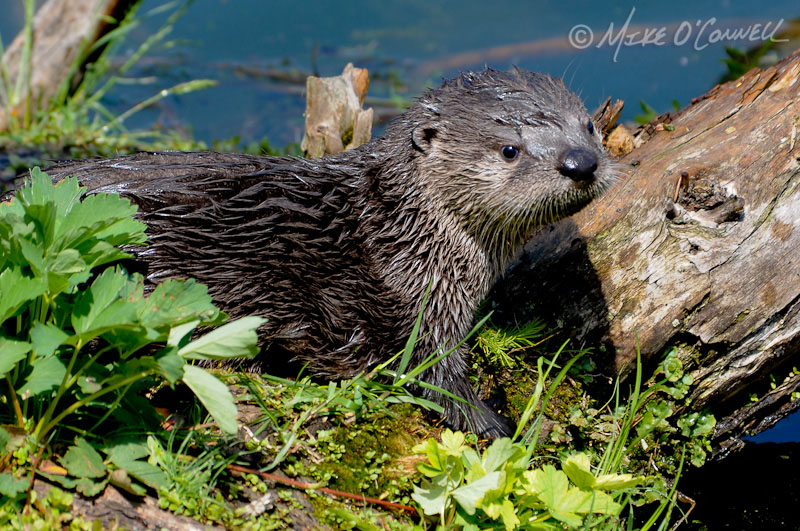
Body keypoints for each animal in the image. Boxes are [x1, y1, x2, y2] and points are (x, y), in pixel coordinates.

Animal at [32, 67, 620, 436]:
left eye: (588, 125)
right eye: (509, 150)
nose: (580, 162)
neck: (402, 233)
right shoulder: (415, 305)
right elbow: (429, 374)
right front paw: (495, 422)